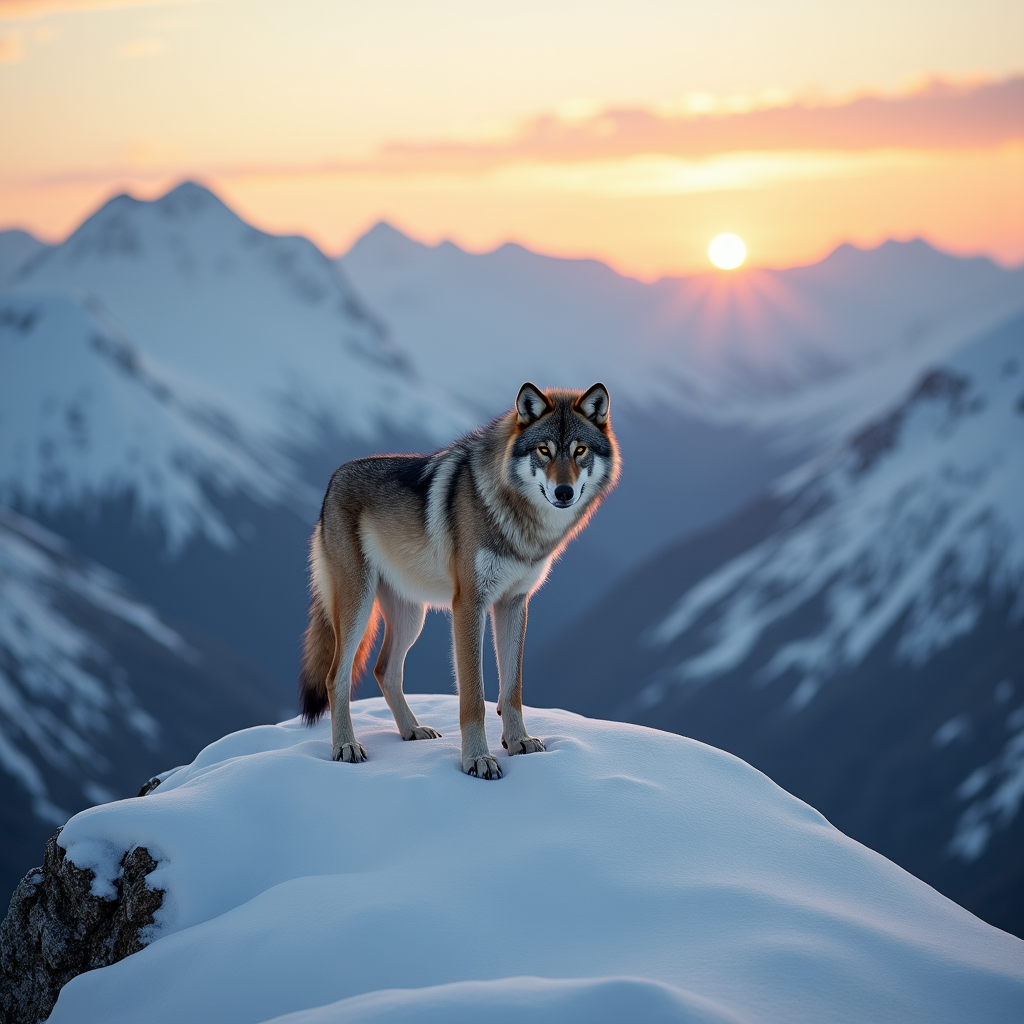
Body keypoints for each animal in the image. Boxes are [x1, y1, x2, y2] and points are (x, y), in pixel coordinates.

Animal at [299, 382, 620, 779]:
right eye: (544, 450)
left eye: (580, 450)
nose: (564, 492)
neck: (518, 521)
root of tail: (332, 481)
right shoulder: (469, 604)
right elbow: (473, 698)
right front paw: (478, 759)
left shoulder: (514, 603)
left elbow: (512, 690)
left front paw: (519, 743)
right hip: (358, 607)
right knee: (336, 678)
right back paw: (345, 746)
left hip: (412, 617)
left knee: (384, 670)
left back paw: (412, 730)